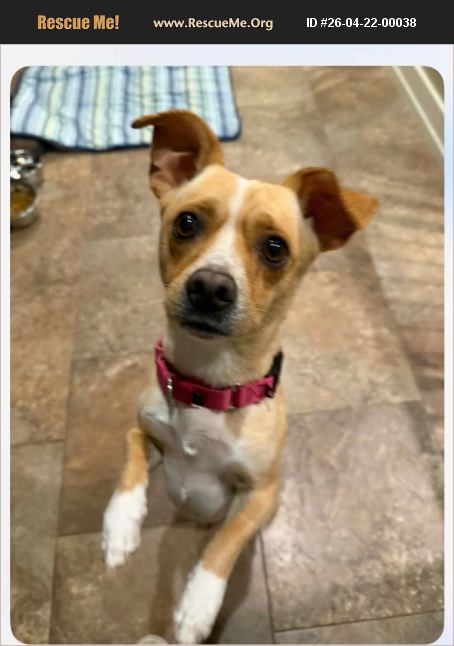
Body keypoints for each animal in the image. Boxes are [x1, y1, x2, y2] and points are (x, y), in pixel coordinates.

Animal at [102, 109, 377, 643]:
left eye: (275, 248)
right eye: (186, 222)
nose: (210, 287)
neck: (208, 386)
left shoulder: (261, 493)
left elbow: (226, 540)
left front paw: (197, 605)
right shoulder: (146, 430)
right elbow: (129, 451)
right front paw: (120, 526)